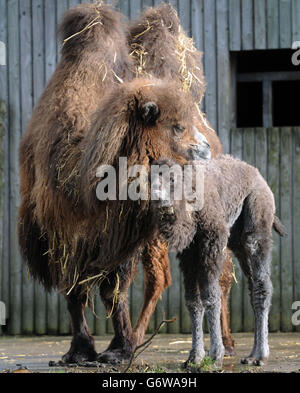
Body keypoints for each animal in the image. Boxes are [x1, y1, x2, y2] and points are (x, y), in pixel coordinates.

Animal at [17, 3, 207, 364]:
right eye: (175, 126)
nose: (204, 149)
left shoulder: (115, 231)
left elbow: (112, 289)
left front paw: (119, 350)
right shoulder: (63, 233)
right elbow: (75, 291)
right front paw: (79, 351)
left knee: (163, 278)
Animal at [151, 155, 284, 366]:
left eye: (172, 179)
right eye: (148, 179)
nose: (157, 196)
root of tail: (260, 178)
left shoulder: (212, 240)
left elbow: (211, 296)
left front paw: (215, 357)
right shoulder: (188, 254)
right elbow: (193, 301)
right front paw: (194, 358)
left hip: (256, 221)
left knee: (262, 284)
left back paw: (260, 356)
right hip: (237, 242)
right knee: (252, 287)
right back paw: (251, 355)